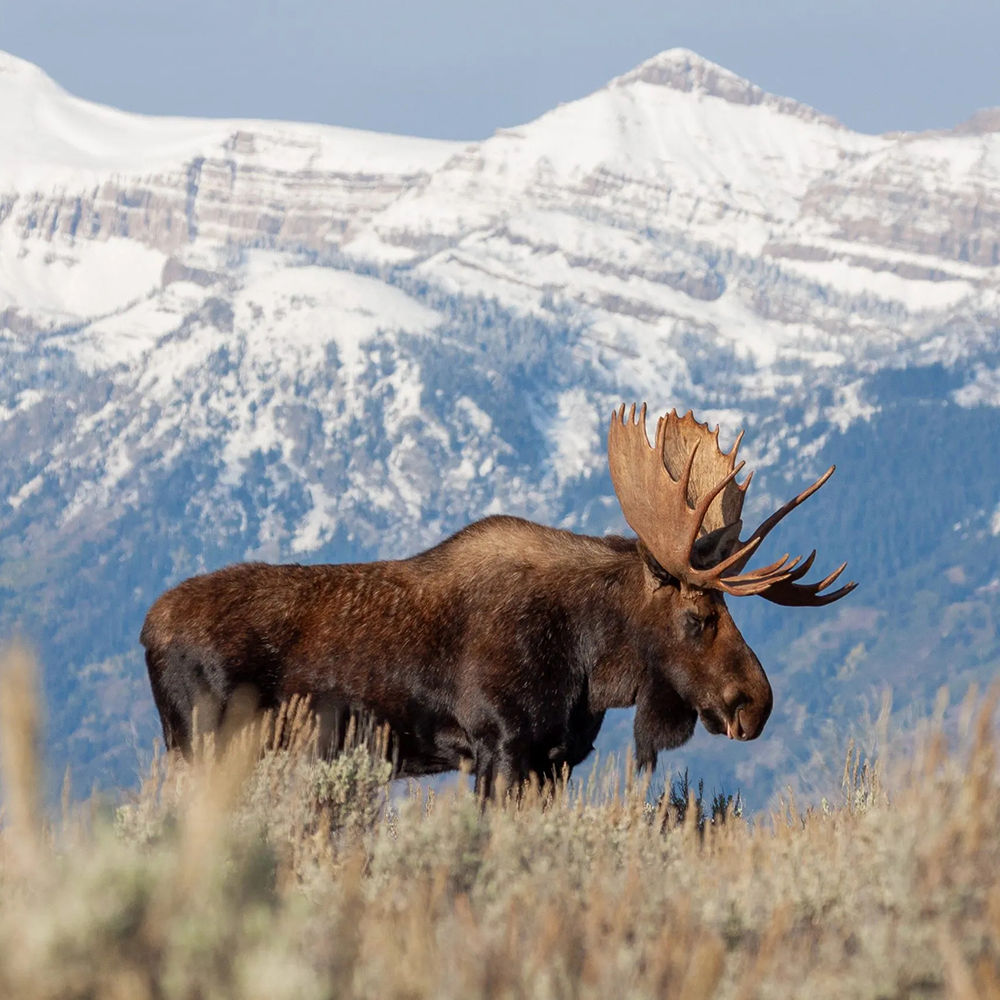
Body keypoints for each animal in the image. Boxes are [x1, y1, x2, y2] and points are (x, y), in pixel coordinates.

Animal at [140, 404, 856, 795]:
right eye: (699, 617)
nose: (755, 703)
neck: (591, 665)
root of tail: (146, 629)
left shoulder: (556, 760)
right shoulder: (502, 747)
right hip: (202, 748)